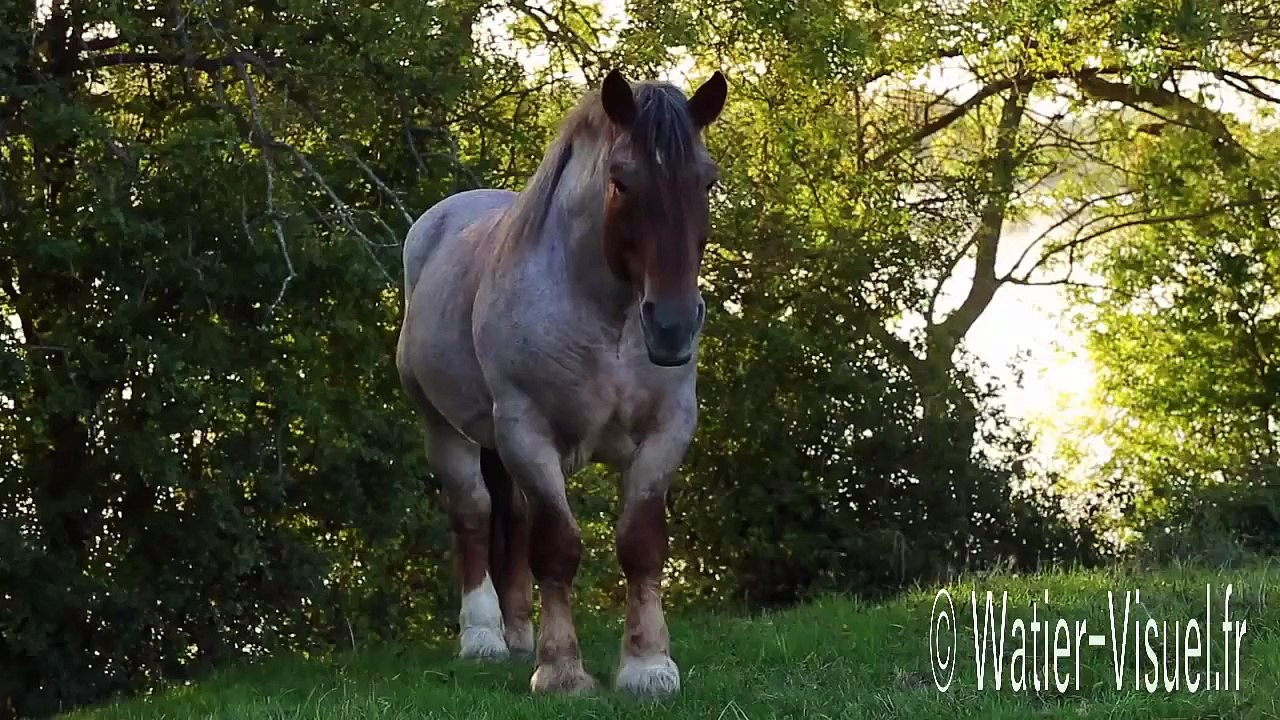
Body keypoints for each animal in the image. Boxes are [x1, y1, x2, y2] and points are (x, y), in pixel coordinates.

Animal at [394, 69, 728, 697]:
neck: (608, 320)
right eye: (621, 182)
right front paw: (562, 670)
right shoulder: (528, 431)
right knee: (473, 513)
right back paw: (483, 637)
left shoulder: (667, 430)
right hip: (444, 426)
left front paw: (648, 665)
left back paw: (519, 634)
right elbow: (556, 548)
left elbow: (640, 543)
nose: (672, 326)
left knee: (515, 522)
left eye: (708, 181)